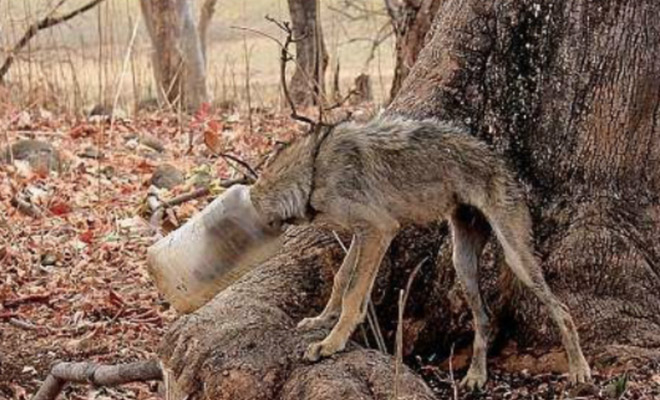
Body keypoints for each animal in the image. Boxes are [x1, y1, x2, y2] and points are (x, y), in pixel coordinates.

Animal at [249, 116, 592, 390]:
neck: (314, 167)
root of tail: (502, 163)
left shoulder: (379, 229)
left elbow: (353, 294)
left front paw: (331, 343)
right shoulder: (363, 234)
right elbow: (341, 278)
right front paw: (322, 319)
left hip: (516, 258)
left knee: (562, 310)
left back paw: (579, 370)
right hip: (462, 264)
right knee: (484, 318)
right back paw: (475, 376)